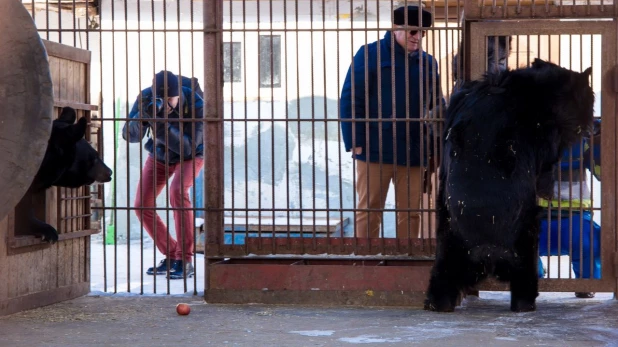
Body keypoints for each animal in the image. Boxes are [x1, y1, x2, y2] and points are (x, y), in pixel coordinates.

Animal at [424, 58, 592, 314]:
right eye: (590, 98)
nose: (593, 126)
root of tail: (485, 251)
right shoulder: (543, 137)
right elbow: (547, 166)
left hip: (449, 235)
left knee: (442, 273)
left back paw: (437, 304)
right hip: (523, 235)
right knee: (525, 274)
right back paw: (526, 303)